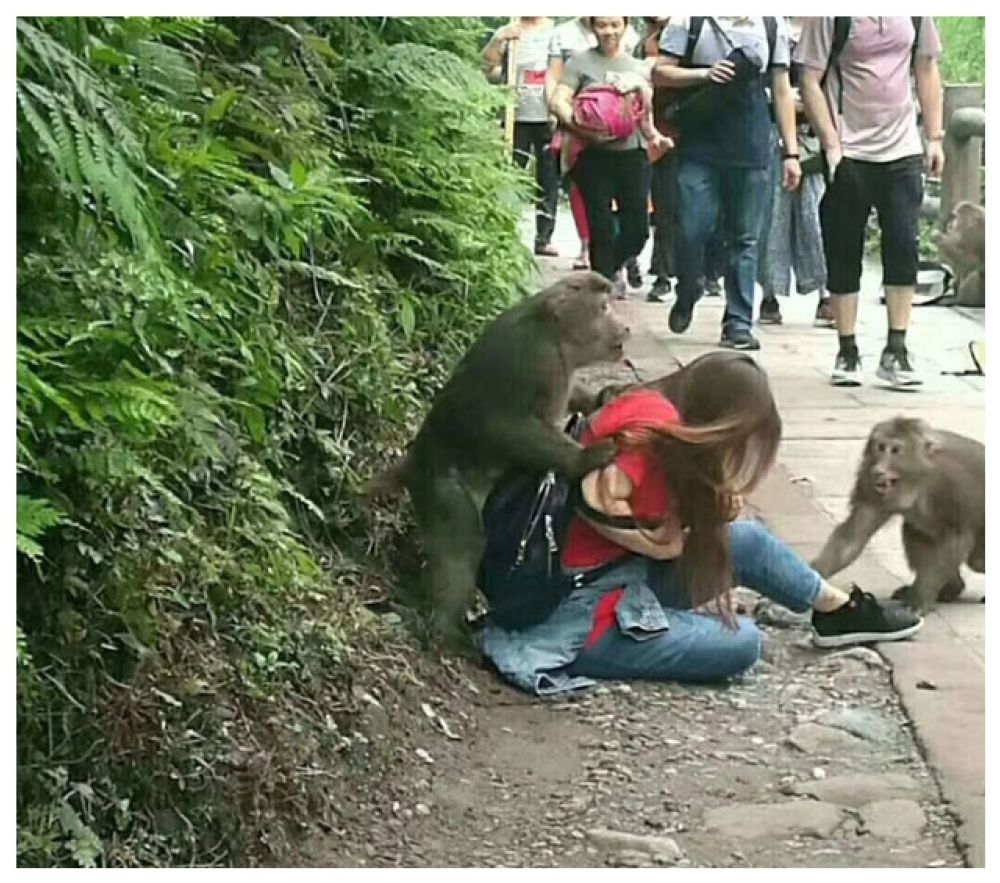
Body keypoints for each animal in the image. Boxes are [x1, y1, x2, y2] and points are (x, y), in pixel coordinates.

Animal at [812, 418, 984, 612]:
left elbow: (955, 538)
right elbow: (854, 536)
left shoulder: (954, 483)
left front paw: (920, 599)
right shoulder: (868, 479)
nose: (879, 469)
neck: (920, 478)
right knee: (914, 530)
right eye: (880, 447)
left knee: (976, 561)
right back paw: (951, 588)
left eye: (895, 450)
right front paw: (815, 574)